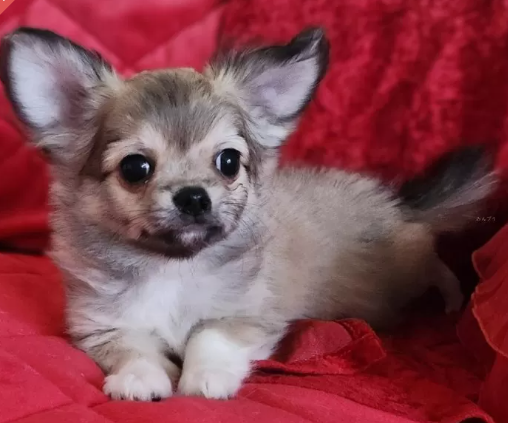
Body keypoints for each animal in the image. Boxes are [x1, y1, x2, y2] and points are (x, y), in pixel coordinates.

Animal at [0, 26, 496, 401]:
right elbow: (133, 347)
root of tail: (395, 204)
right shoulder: (105, 324)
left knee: (433, 258)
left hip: (402, 270)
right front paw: (139, 377)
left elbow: (209, 336)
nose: (194, 197)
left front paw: (205, 378)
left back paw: (454, 298)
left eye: (228, 161)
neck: (174, 269)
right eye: (135, 168)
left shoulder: (250, 313)